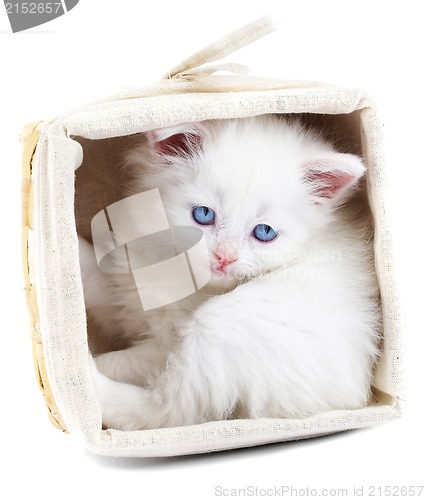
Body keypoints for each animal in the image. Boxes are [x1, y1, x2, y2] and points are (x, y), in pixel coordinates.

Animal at [80, 114, 380, 430]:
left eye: (264, 232)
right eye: (203, 214)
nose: (225, 258)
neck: (173, 261)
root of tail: (358, 391)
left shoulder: (166, 344)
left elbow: (125, 360)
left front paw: (96, 359)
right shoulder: (126, 296)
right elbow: (98, 284)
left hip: (219, 323)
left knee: (169, 411)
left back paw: (90, 376)